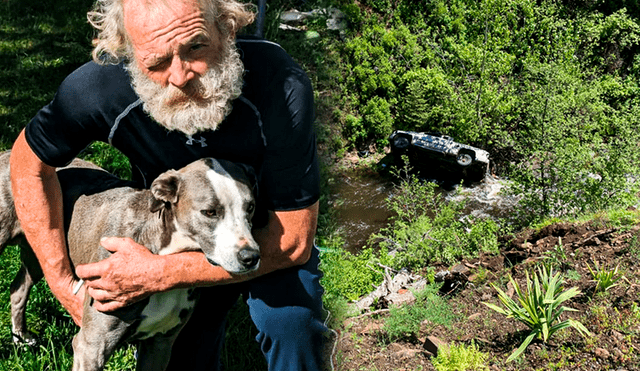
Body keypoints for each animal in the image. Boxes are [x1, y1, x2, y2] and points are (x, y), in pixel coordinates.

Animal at [0, 150, 260, 370]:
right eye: (209, 212)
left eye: (250, 208)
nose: (251, 257)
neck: (160, 254)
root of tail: (6, 153)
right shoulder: (91, 347)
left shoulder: (160, 345)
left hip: (41, 248)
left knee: (18, 289)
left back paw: (20, 339)